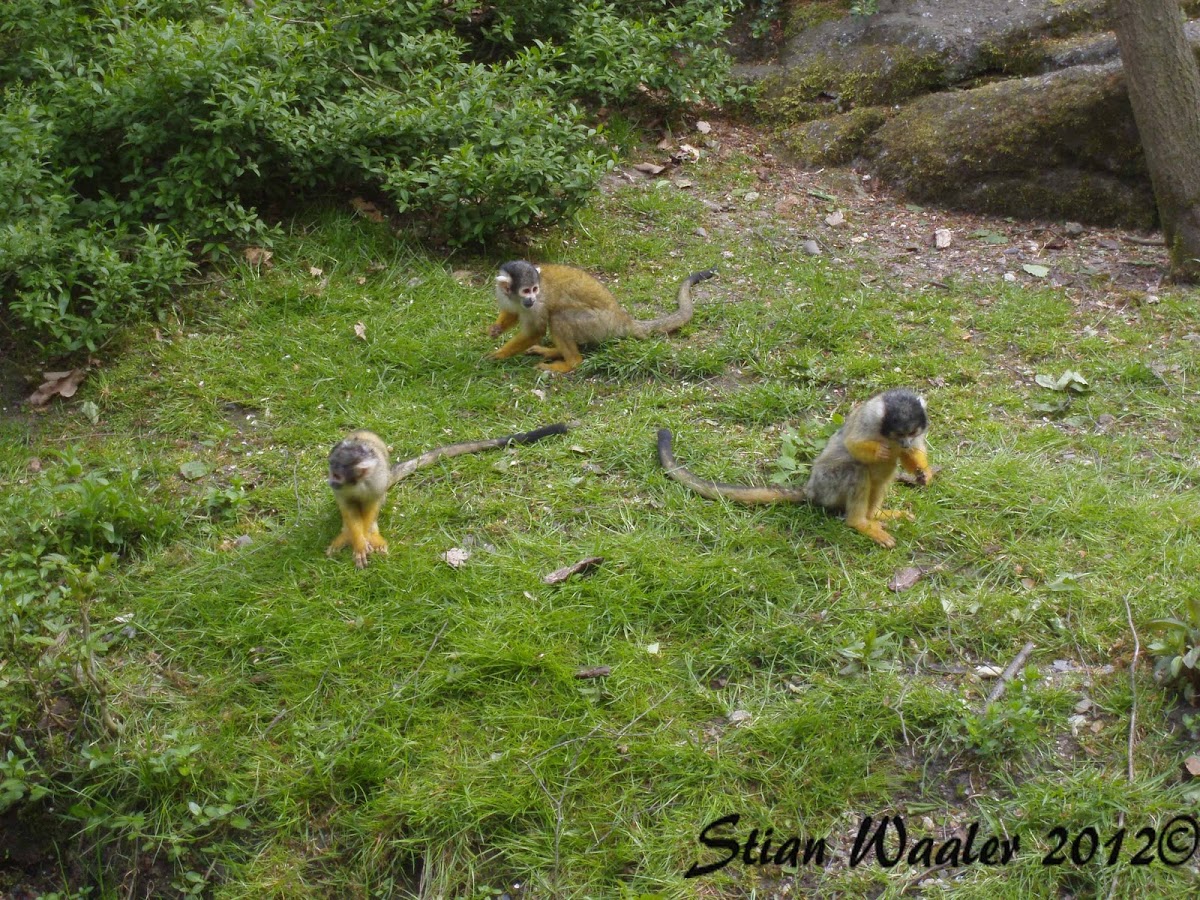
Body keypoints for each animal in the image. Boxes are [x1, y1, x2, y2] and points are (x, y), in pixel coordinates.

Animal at [327, 423, 568, 567]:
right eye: (331, 470)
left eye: (337, 474)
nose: (330, 481)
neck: (358, 482)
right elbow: (348, 506)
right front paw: (359, 542)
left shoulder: (377, 479)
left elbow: (374, 501)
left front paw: (368, 536)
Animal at [489, 261, 716, 374]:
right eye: (526, 291)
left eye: (535, 289)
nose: (532, 299)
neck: (518, 299)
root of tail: (622, 319)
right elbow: (512, 313)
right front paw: (496, 328)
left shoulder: (539, 303)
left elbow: (535, 331)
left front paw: (498, 354)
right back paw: (555, 352)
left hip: (598, 324)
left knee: (560, 317)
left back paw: (570, 362)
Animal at [657, 389, 933, 548]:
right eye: (899, 433)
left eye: (911, 433)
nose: (904, 442)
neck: (886, 432)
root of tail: (811, 489)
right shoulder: (869, 418)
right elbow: (852, 444)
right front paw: (879, 451)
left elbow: (912, 454)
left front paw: (922, 471)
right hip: (828, 485)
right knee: (857, 470)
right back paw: (859, 522)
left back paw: (874, 515)